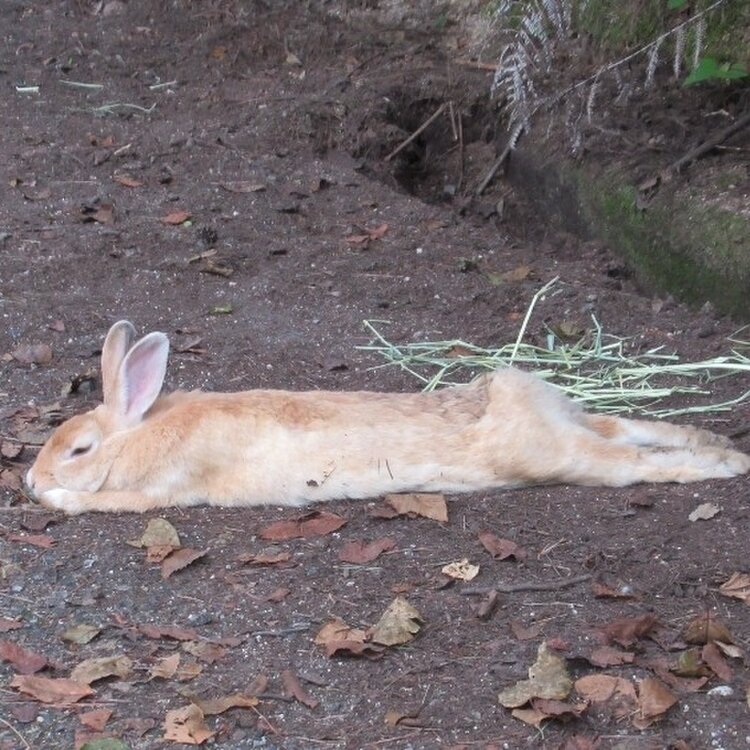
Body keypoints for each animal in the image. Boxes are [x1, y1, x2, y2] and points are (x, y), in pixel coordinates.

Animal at [26, 320, 748, 516]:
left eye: (79, 450)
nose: (29, 480)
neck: (143, 427)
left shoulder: (158, 490)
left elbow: (103, 503)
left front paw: (58, 499)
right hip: (571, 426)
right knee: (623, 428)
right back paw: (723, 446)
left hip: (560, 458)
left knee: (631, 463)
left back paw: (723, 466)